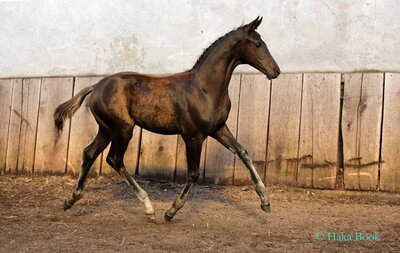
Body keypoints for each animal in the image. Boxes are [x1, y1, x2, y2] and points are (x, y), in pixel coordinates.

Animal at [54, 16, 280, 221]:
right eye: (258, 44)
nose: (276, 71)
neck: (204, 89)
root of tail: (96, 86)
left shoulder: (219, 129)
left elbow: (243, 152)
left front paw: (265, 202)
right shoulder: (193, 136)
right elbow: (194, 173)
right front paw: (171, 211)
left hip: (107, 129)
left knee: (89, 153)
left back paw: (70, 200)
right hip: (123, 129)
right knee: (114, 159)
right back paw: (149, 208)